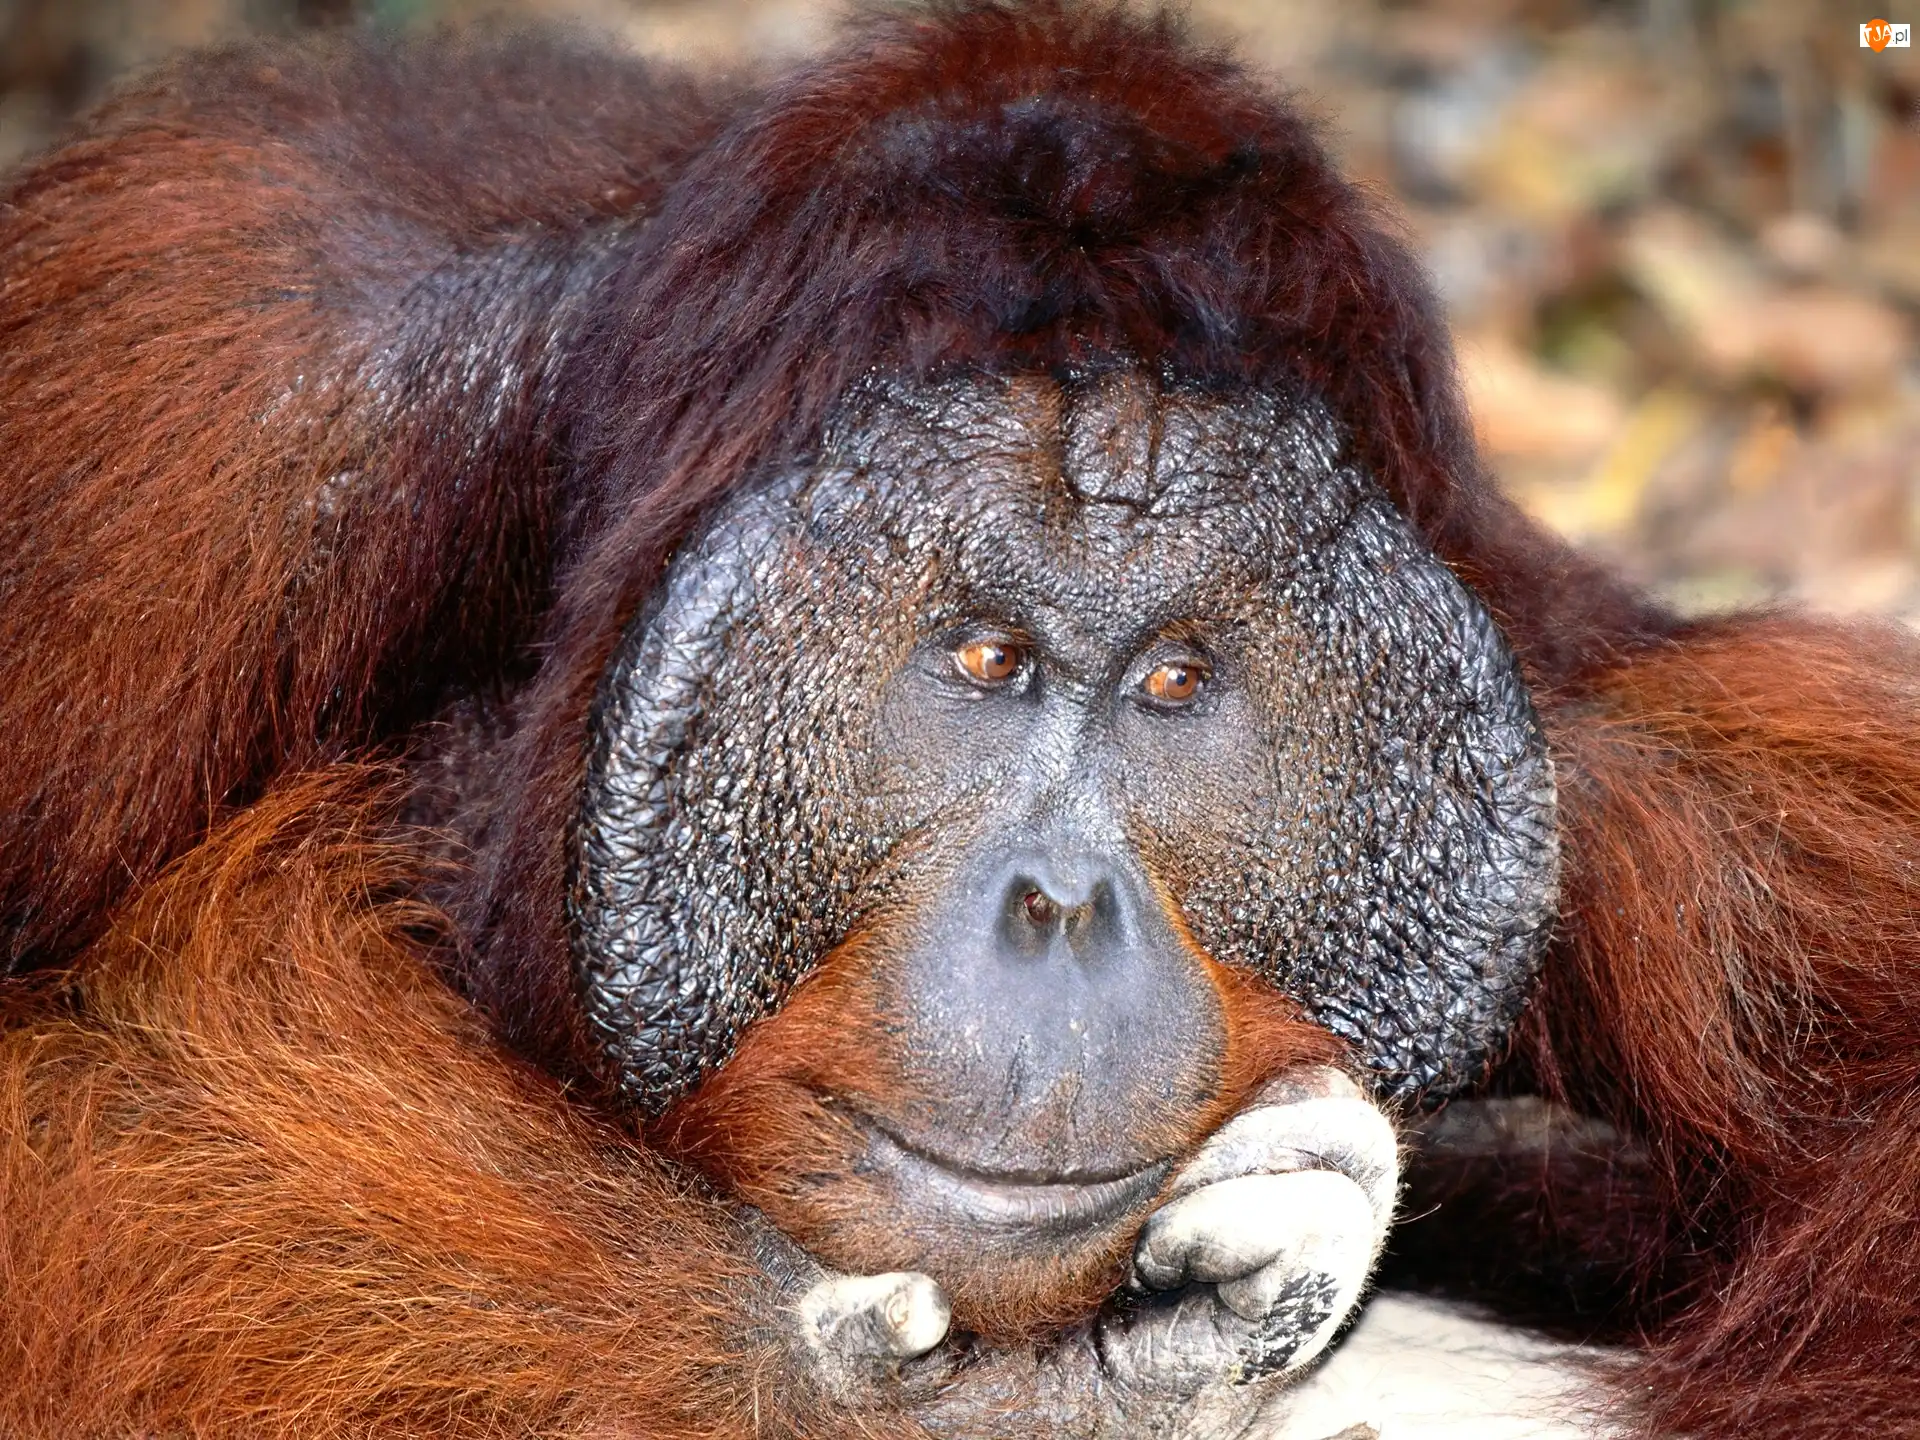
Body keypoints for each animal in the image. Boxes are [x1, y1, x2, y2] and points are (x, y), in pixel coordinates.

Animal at [2, 4, 1918, 1439]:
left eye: (1170, 682)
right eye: (987, 661)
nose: (1064, 905)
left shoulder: (1580, 698)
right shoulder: (207, 420)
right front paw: (961, 1388)